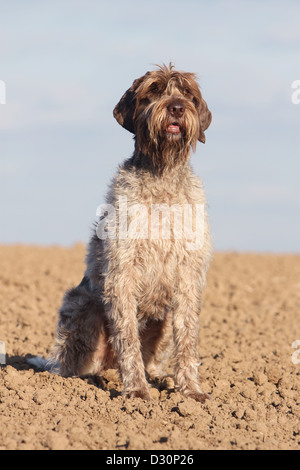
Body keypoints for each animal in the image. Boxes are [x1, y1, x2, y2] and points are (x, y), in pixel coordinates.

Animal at [27, 64, 211, 402]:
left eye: (188, 93)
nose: (177, 108)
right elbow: (127, 336)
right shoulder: (121, 271)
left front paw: (191, 391)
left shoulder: (188, 276)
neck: (162, 174)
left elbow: (188, 338)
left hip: (162, 317)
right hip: (80, 307)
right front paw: (136, 390)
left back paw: (156, 375)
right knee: (72, 365)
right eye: (154, 90)